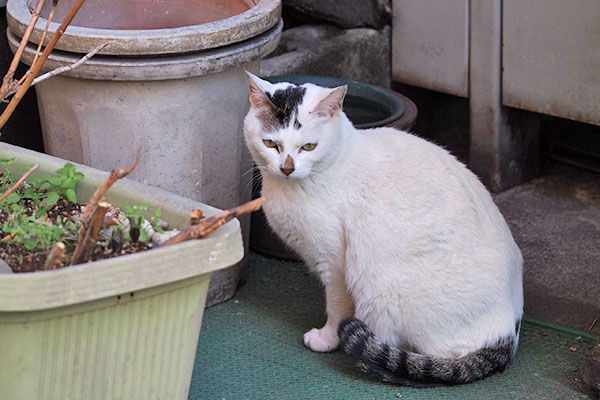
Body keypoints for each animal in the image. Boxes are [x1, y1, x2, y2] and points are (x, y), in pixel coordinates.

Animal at [241, 73, 524, 386]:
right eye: (270, 143)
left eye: (308, 147)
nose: (287, 168)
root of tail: (507, 332)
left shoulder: (335, 264)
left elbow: (336, 307)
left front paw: (327, 338)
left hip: (383, 291)